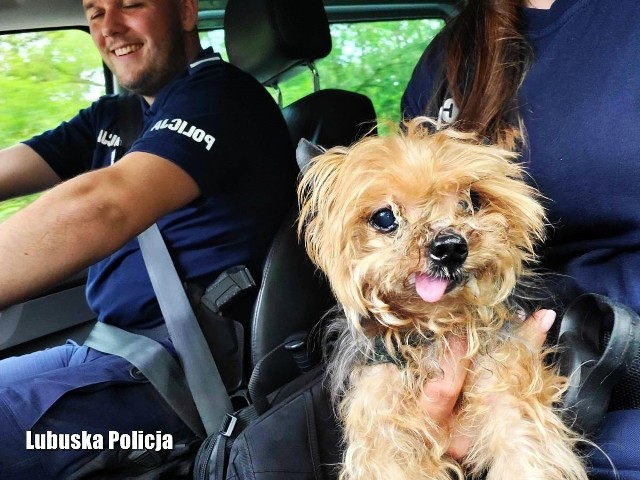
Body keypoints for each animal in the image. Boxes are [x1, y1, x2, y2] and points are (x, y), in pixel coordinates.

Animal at [298, 117, 588, 480]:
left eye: (473, 200)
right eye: (384, 218)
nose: (449, 247)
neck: (438, 324)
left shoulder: (504, 378)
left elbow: (523, 444)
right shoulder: (380, 403)